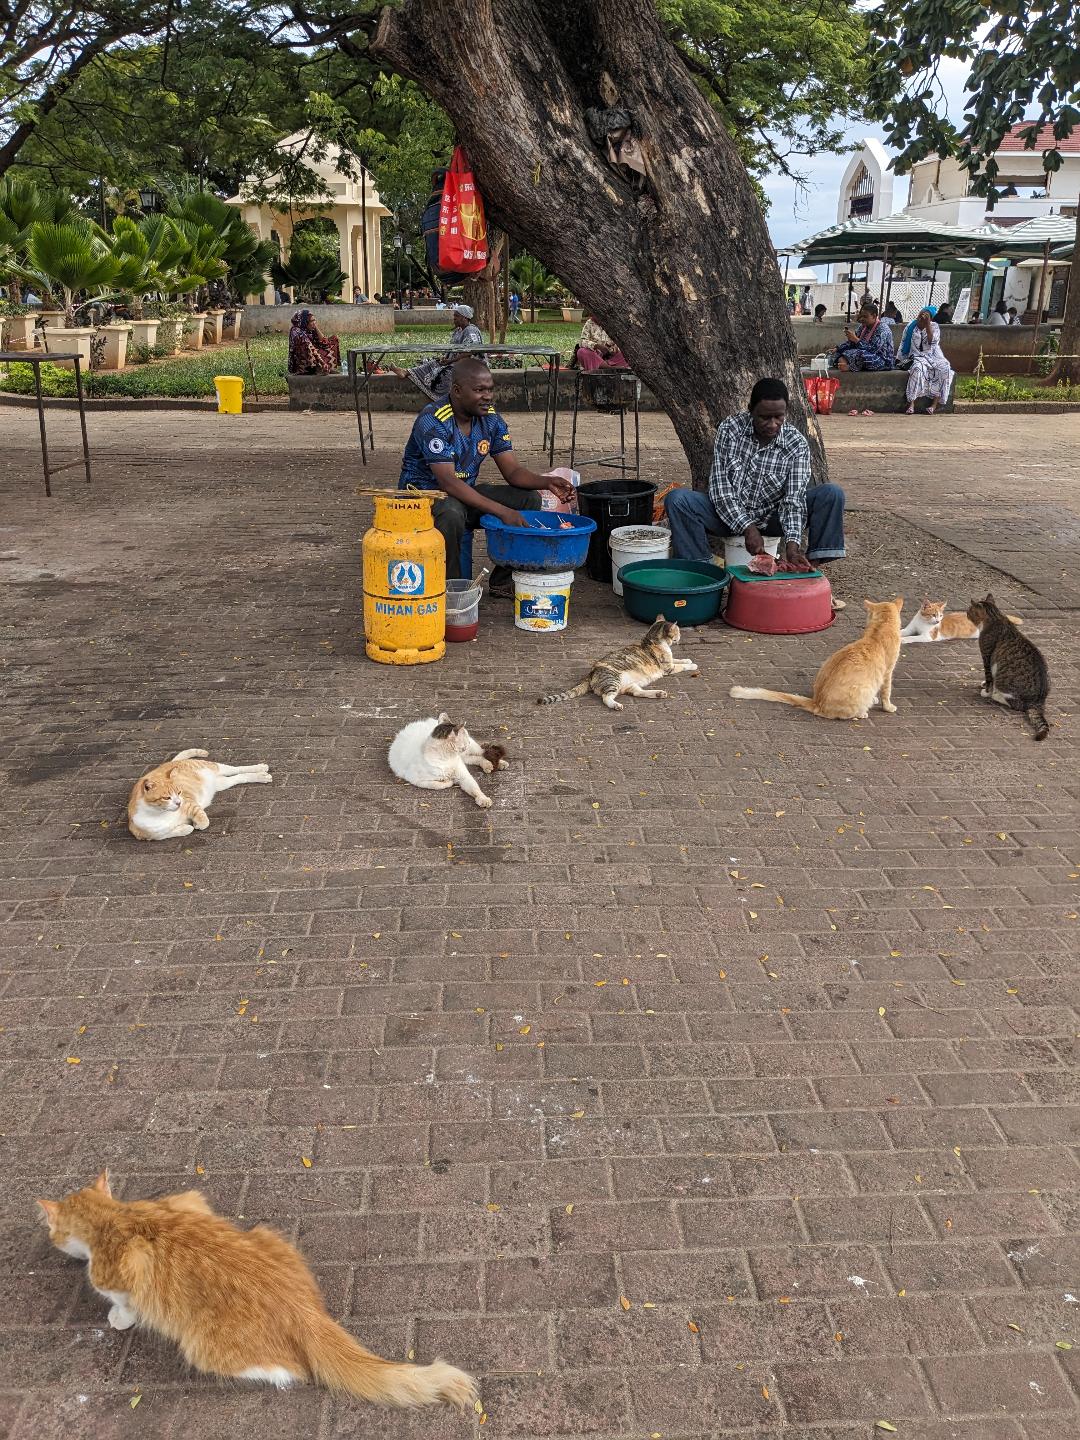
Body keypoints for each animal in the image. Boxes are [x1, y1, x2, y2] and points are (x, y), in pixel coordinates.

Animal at [38, 1169, 478, 1405]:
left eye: (54, 1233)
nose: (53, 1241)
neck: (114, 1217)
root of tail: (304, 1312)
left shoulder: (116, 1274)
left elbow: (123, 1300)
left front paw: (119, 1316)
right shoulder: (189, 1200)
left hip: (203, 1347)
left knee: (293, 1370)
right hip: (269, 1235)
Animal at [127, 748, 272, 840]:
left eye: (179, 792)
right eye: (166, 797)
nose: (178, 803)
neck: (161, 814)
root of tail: (170, 762)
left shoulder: (189, 803)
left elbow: (202, 817)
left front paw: (198, 824)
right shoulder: (151, 836)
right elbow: (180, 831)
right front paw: (187, 827)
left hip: (214, 767)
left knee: (237, 769)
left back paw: (260, 768)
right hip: (222, 783)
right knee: (240, 777)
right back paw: (260, 776)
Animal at [535, 616, 702, 711]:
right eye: (678, 631)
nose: (680, 637)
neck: (652, 639)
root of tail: (590, 674)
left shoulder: (670, 661)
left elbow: (678, 659)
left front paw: (688, 659)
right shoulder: (668, 667)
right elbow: (680, 665)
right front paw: (692, 665)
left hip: (631, 684)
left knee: (637, 692)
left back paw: (658, 693)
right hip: (613, 680)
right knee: (606, 698)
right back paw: (616, 705)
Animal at [731, 593, 910, 717]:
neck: (878, 630)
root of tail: (817, 702)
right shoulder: (887, 672)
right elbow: (886, 692)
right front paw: (888, 707)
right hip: (863, 690)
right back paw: (862, 713)